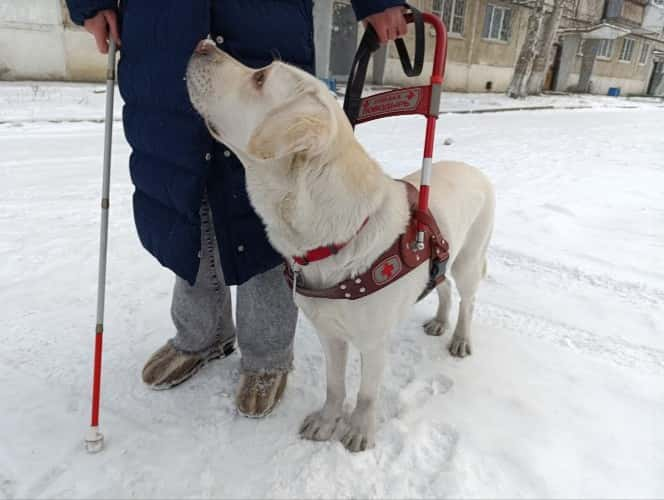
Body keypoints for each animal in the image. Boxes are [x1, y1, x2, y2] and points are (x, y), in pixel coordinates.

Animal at [185, 41, 492, 452]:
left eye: (260, 77)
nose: (203, 44)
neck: (332, 239)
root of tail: (473, 169)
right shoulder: (328, 332)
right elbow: (334, 385)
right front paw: (327, 421)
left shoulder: (374, 343)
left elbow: (367, 393)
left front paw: (359, 430)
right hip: (444, 256)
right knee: (441, 286)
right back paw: (440, 321)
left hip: (469, 261)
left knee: (468, 301)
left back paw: (459, 338)